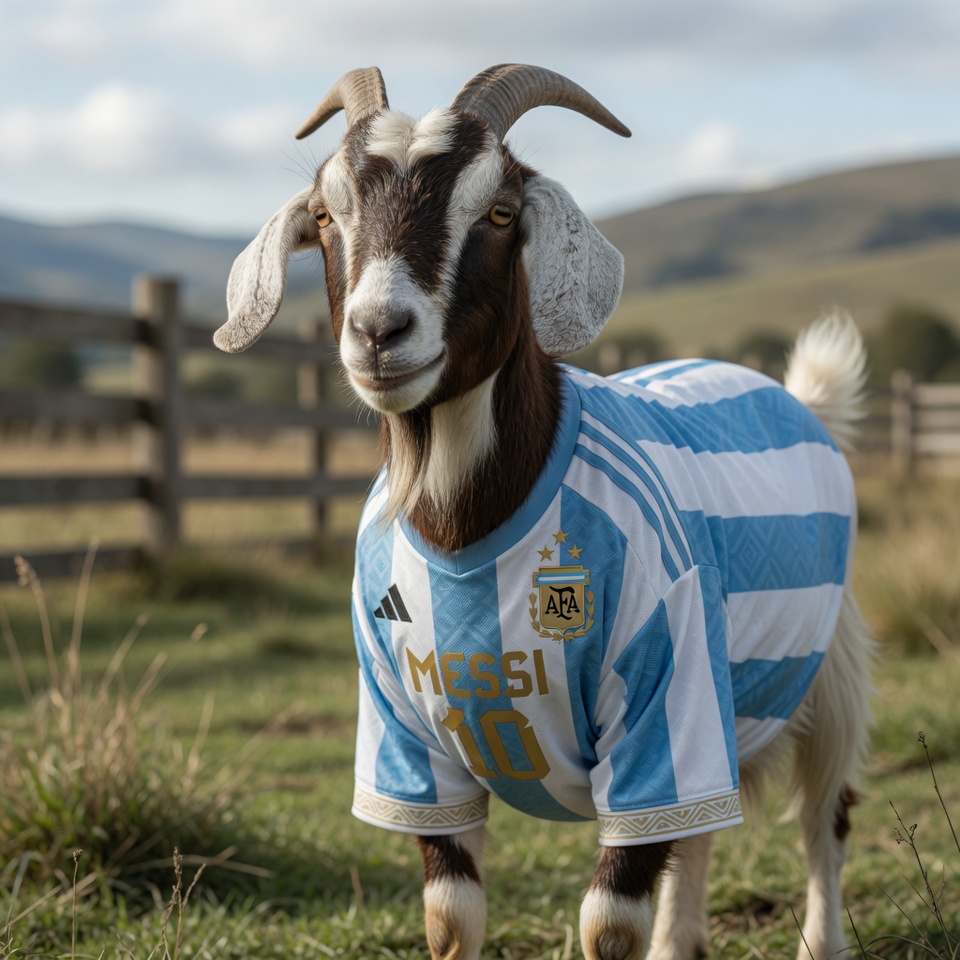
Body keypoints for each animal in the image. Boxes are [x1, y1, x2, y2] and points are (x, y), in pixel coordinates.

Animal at [215, 64, 873, 960]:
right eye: (323, 214)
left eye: (497, 212)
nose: (379, 332)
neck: (468, 525)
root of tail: (792, 394)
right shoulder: (410, 734)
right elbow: (451, 915)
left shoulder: (662, 682)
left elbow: (610, 921)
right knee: (705, 830)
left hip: (824, 666)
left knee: (823, 821)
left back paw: (819, 938)